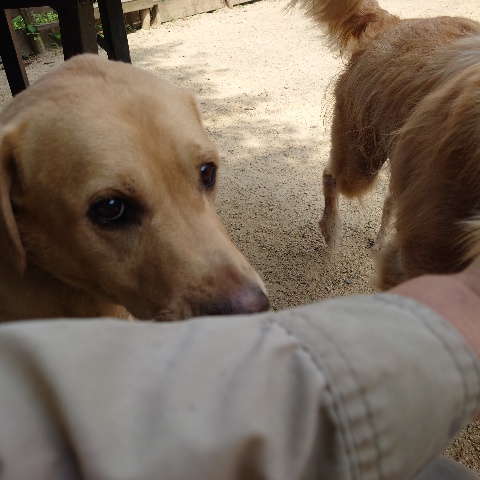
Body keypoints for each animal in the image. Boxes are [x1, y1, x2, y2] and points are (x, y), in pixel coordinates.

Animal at [291, 0, 480, 289]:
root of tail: (394, 22)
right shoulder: (422, 256)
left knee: (390, 198)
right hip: (360, 161)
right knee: (330, 175)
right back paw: (332, 230)